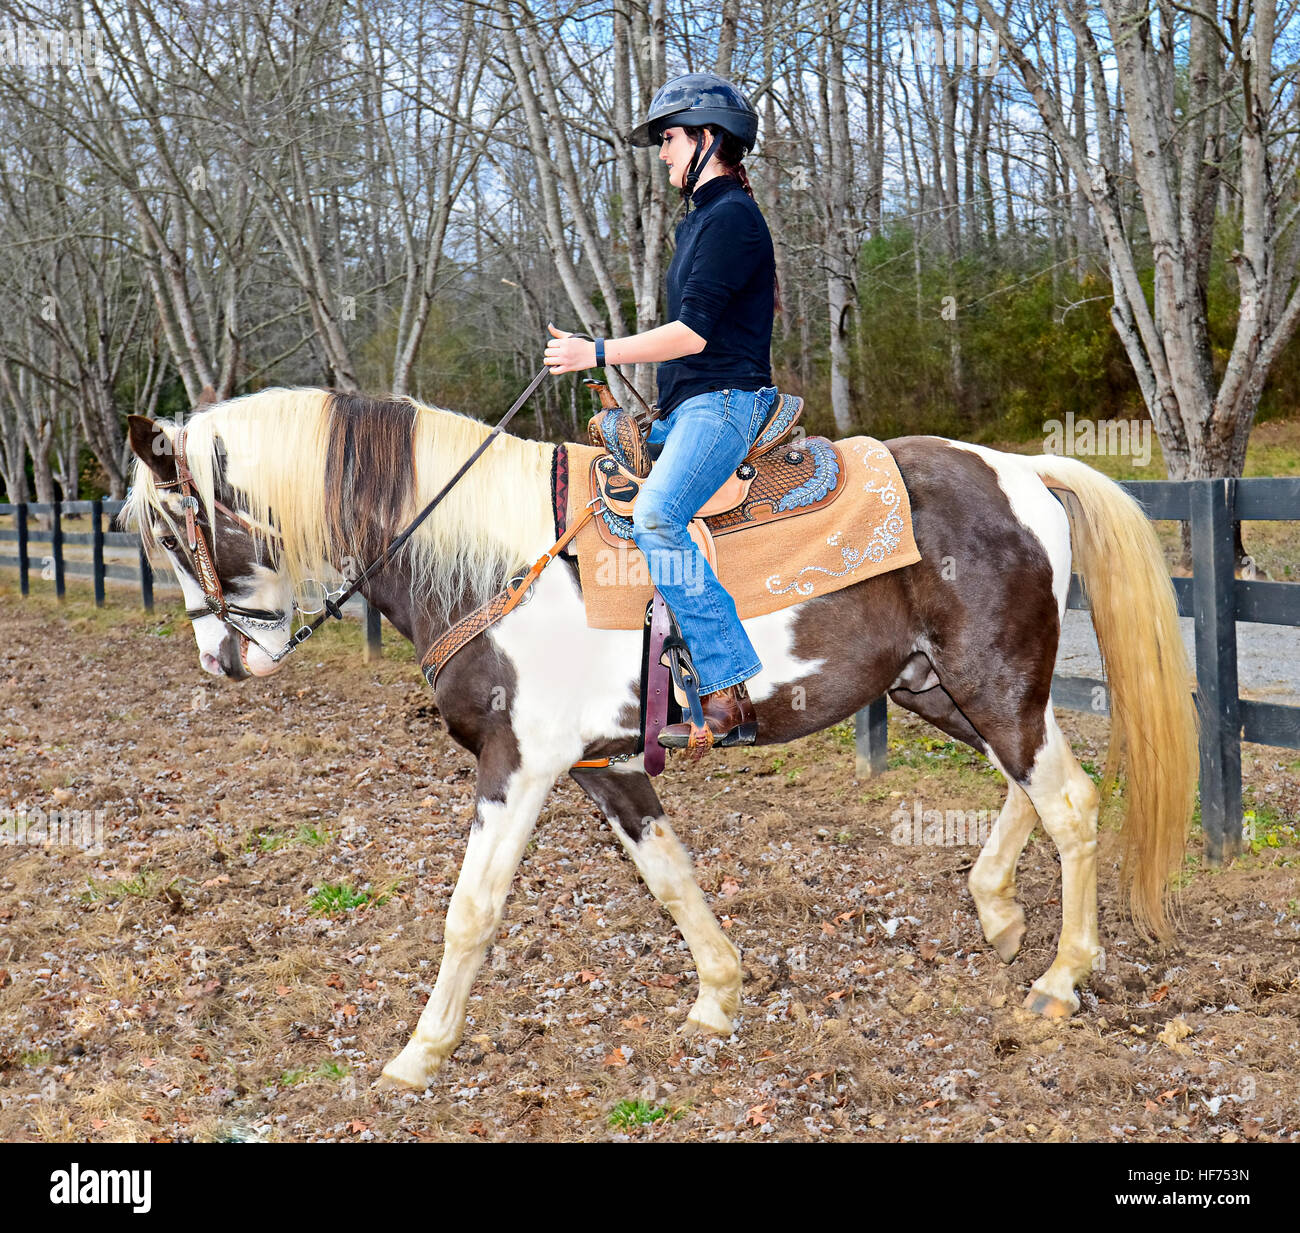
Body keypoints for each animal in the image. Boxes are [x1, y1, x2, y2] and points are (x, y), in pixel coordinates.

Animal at [124, 384, 1196, 1087]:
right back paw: (999, 909)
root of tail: (1023, 470)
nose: (221, 660)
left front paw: (418, 1054)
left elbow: (472, 909)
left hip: (992, 683)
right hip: (947, 691)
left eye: (174, 531)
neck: (493, 559)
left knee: (1070, 802)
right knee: (1039, 783)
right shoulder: (603, 767)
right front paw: (718, 995)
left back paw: (1060, 976)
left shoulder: (520, 764)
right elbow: (669, 875)